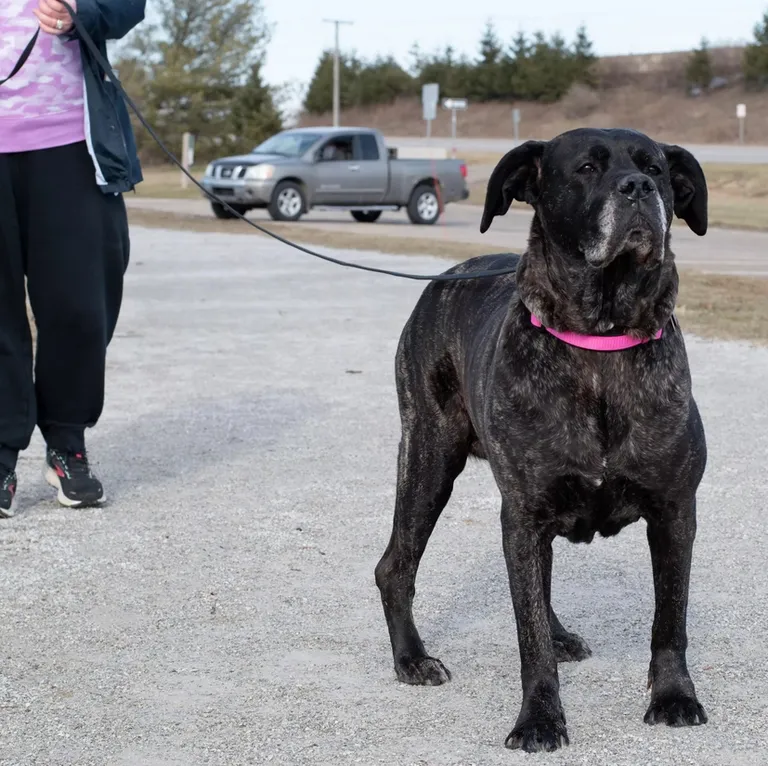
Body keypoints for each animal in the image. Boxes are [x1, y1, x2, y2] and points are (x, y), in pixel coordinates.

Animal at [372, 129, 708, 752]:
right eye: (586, 169)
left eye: (656, 168)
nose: (638, 188)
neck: (600, 340)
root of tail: (445, 278)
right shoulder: (523, 514)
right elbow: (527, 634)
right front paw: (539, 718)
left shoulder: (675, 510)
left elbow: (670, 617)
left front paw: (674, 696)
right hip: (429, 461)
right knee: (395, 566)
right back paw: (412, 659)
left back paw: (560, 636)